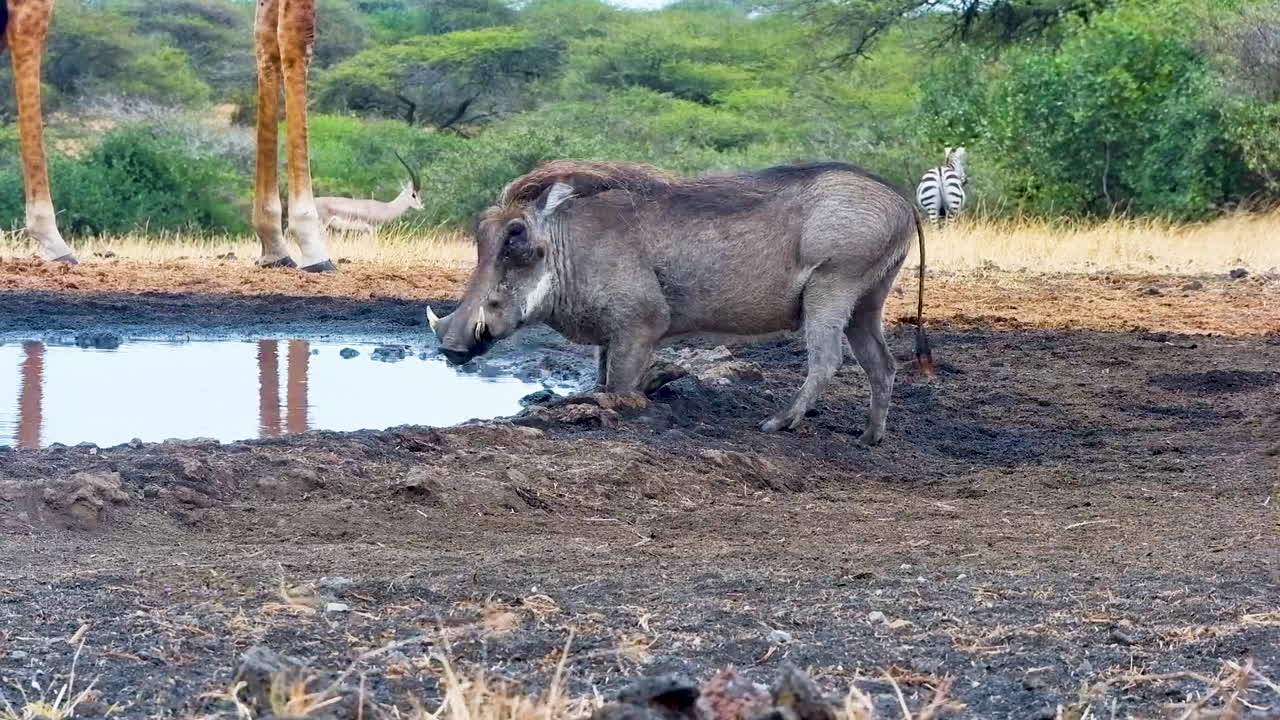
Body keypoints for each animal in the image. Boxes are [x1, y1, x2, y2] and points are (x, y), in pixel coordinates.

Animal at [2, 0, 335, 272]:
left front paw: (273, 244)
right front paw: (311, 244)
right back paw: (52, 239)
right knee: (25, 20)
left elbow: (265, 38)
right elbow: (296, 35)